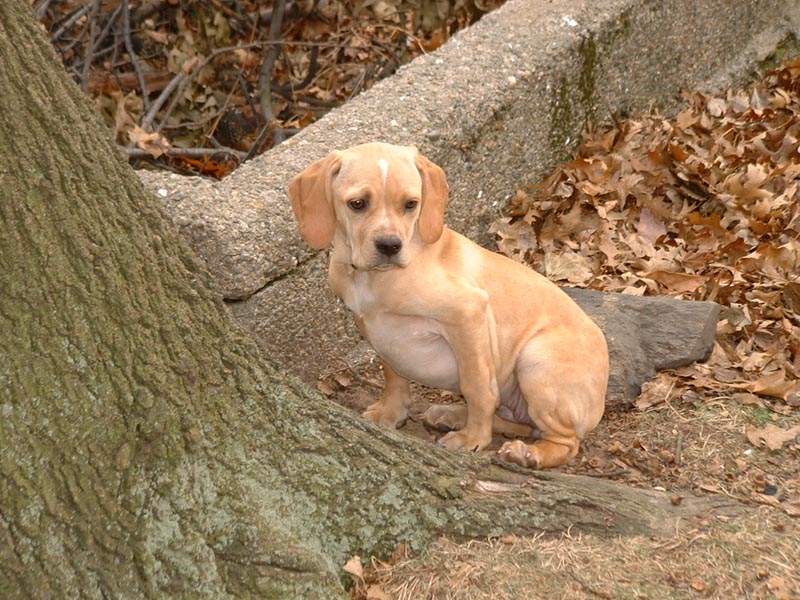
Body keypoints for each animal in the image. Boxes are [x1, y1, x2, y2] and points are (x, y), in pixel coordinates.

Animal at [288, 142, 608, 468]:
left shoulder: (468, 312)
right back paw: (453, 414)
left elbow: (477, 386)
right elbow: (393, 373)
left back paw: (525, 452)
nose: (390, 246)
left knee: (565, 442)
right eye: (357, 204)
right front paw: (391, 411)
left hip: (536, 361)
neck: (371, 278)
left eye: (411, 204)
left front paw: (473, 438)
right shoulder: (379, 333)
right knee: (521, 422)